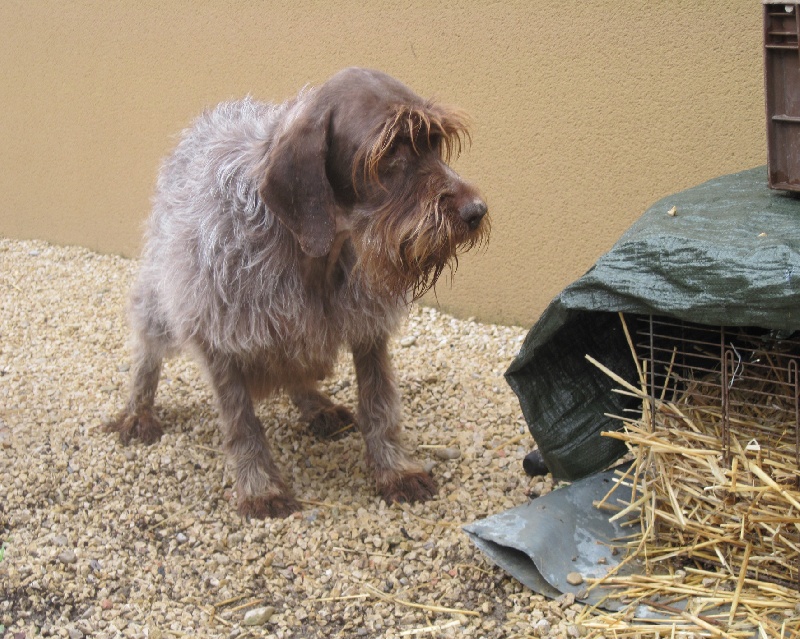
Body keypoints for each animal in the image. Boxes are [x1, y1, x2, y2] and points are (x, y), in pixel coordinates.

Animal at [105, 69, 488, 520]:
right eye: (391, 149)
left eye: (435, 142)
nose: (476, 212)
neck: (313, 249)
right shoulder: (216, 334)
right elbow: (241, 423)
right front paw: (259, 486)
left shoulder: (367, 328)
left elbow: (378, 402)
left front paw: (394, 469)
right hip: (164, 295)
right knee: (148, 348)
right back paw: (138, 410)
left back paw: (315, 405)